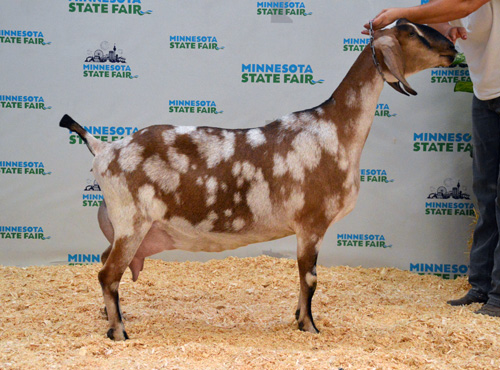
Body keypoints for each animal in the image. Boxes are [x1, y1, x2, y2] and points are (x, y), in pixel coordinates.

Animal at [59, 18, 458, 340]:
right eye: (412, 32)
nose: (453, 49)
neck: (334, 129)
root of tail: (103, 148)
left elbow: (302, 279)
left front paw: (298, 318)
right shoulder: (312, 222)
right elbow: (310, 278)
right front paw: (310, 327)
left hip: (124, 227)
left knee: (105, 264)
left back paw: (110, 317)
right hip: (132, 222)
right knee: (107, 274)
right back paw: (119, 332)